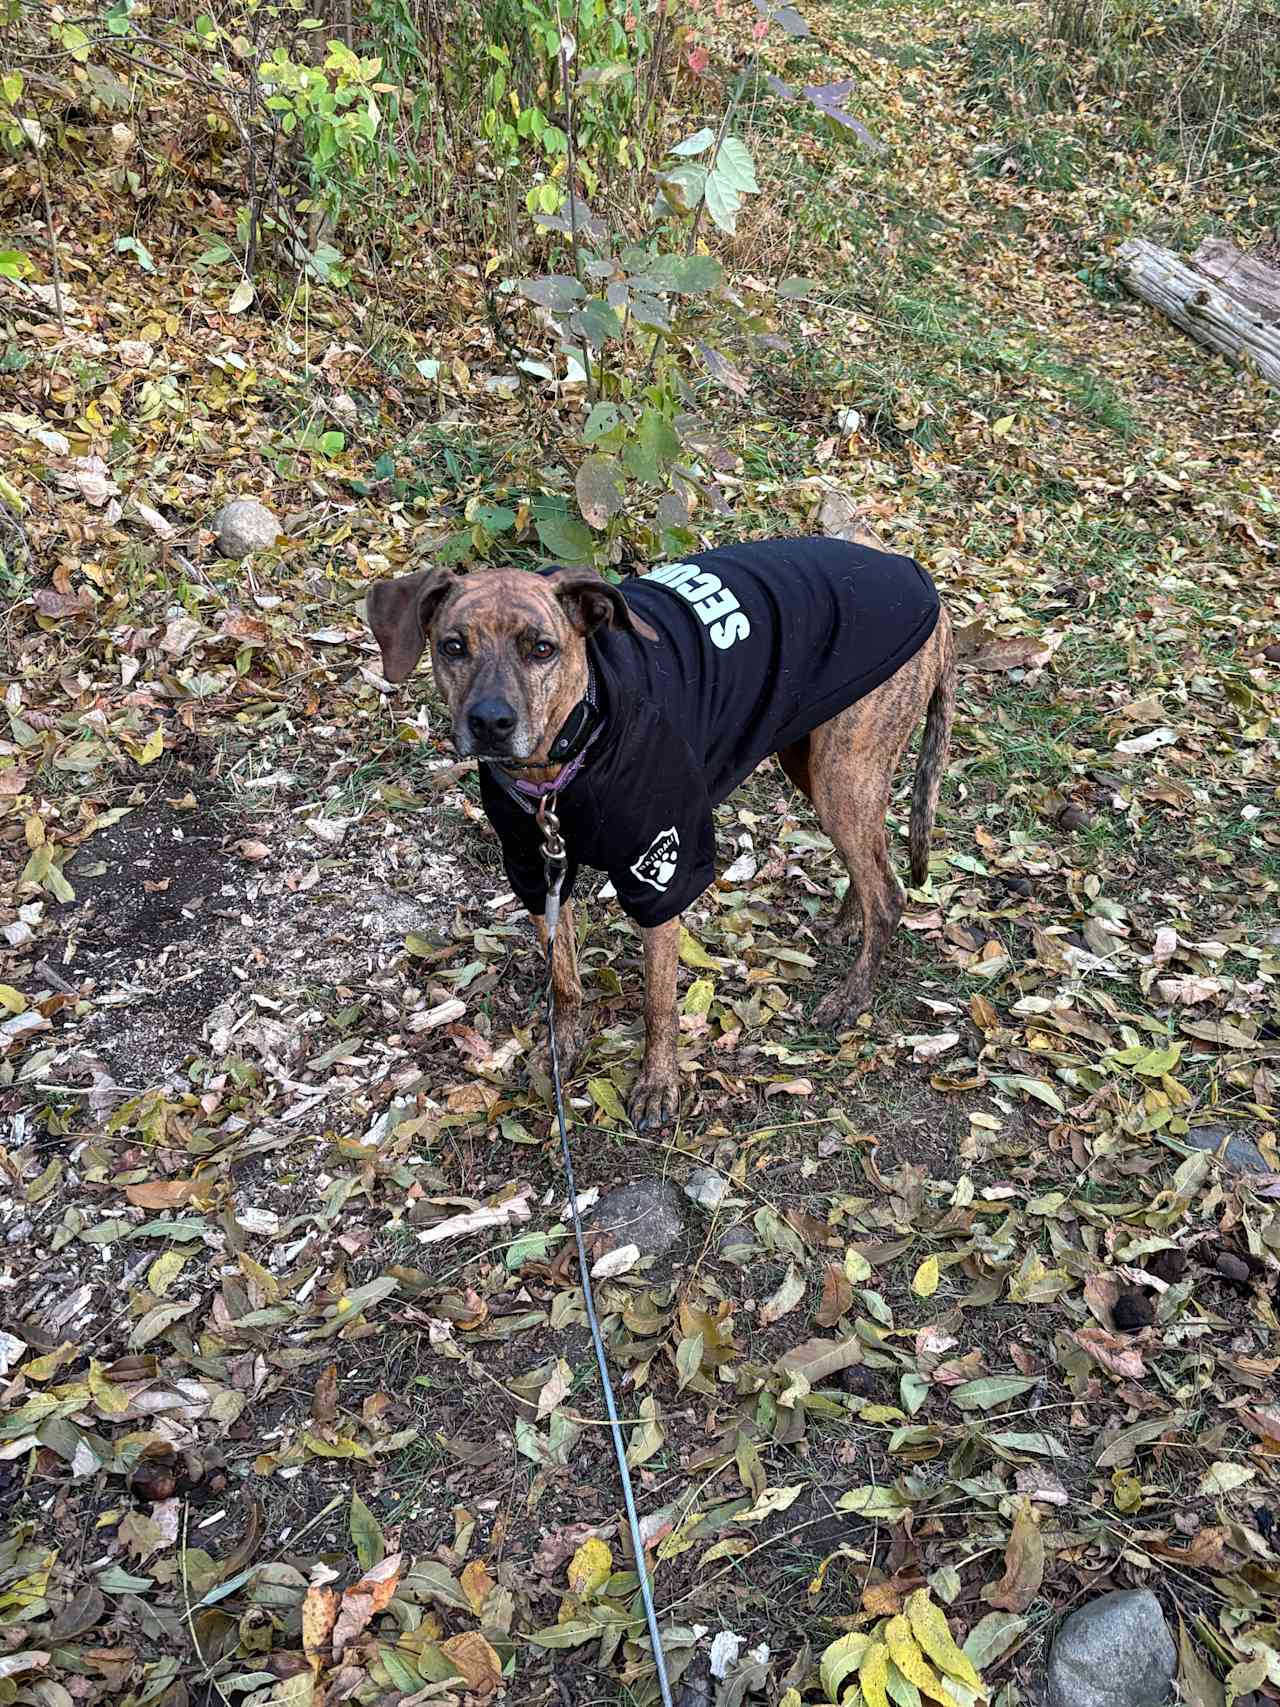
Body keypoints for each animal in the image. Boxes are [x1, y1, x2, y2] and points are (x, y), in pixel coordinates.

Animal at [365, 553, 955, 1126]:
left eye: (542, 649)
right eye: (453, 646)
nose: (491, 722)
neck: (569, 751)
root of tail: (923, 582)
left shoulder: (661, 872)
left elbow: (659, 1002)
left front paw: (657, 1084)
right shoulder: (535, 870)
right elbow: (563, 978)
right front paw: (563, 1046)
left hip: (843, 771)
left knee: (889, 892)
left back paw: (852, 996)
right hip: (814, 764)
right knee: (870, 862)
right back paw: (848, 923)